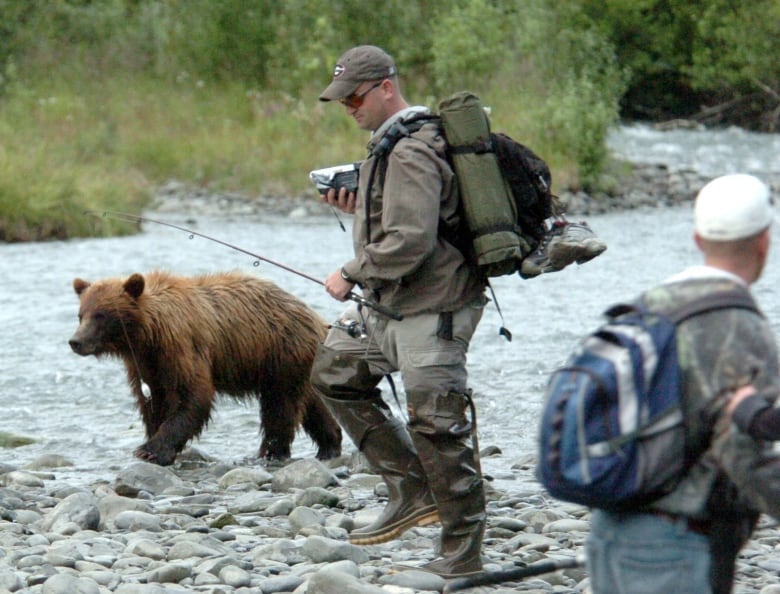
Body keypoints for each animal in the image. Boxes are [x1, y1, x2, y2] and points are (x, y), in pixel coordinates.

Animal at [69, 270, 342, 464]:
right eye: (81, 314)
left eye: (101, 315)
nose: (75, 341)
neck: (148, 335)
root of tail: (318, 319)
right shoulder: (146, 365)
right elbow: (151, 400)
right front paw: (152, 438)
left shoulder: (182, 348)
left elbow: (192, 396)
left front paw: (150, 450)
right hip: (297, 364)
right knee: (313, 405)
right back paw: (329, 444)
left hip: (280, 353)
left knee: (280, 406)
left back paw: (271, 452)